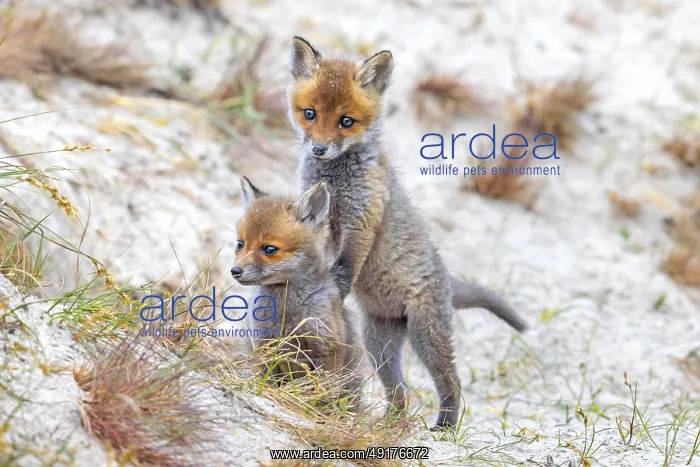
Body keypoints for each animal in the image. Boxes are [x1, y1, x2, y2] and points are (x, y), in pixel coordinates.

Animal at [231, 177, 364, 396]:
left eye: (269, 249)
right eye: (240, 244)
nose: (235, 271)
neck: (287, 312)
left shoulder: (328, 349)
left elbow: (324, 393)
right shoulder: (264, 346)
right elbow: (264, 381)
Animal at [287, 36, 529, 429]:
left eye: (346, 121)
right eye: (310, 114)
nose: (319, 149)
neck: (335, 179)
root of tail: (447, 282)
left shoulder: (362, 219)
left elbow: (346, 265)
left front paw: (335, 287)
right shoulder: (320, 218)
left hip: (424, 336)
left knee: (451, 381)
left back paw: (445, 427)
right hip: (380, 344)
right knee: (401, 392)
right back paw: (390, 425)